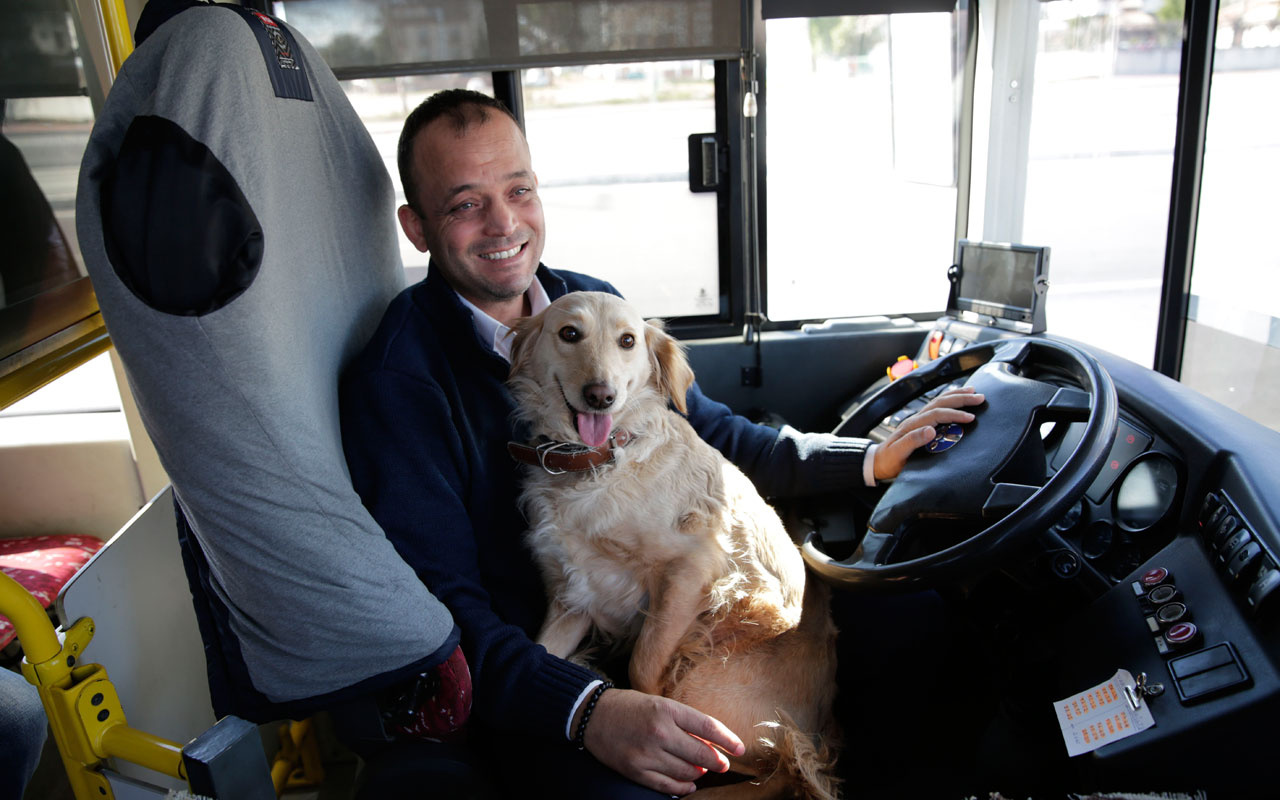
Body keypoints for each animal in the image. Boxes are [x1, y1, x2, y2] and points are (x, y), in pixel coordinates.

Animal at [509, 293, 839, 798]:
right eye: (569, 334)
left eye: (627, 341)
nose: (600, 395)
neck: (599, 462)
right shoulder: (573, 596)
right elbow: (542, 650)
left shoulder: (691, 568)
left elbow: (645, 667)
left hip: (707, 681)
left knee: (778, 766)